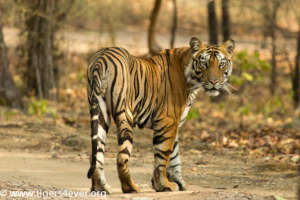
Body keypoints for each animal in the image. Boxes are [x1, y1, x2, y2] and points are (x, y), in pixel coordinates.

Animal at [85, 36, 236, 193]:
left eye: (221, 64)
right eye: (204, 64)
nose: (214, 82)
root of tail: (101, 59)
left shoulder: (174, 124)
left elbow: (175, 156)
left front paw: (178, 182)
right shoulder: (167, 121)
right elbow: (163, 156)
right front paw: (164, 185)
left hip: (100, 111)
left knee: (97, 154)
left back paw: (100, 187)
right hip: (125, 114)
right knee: (121, 156)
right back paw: (131, 187)